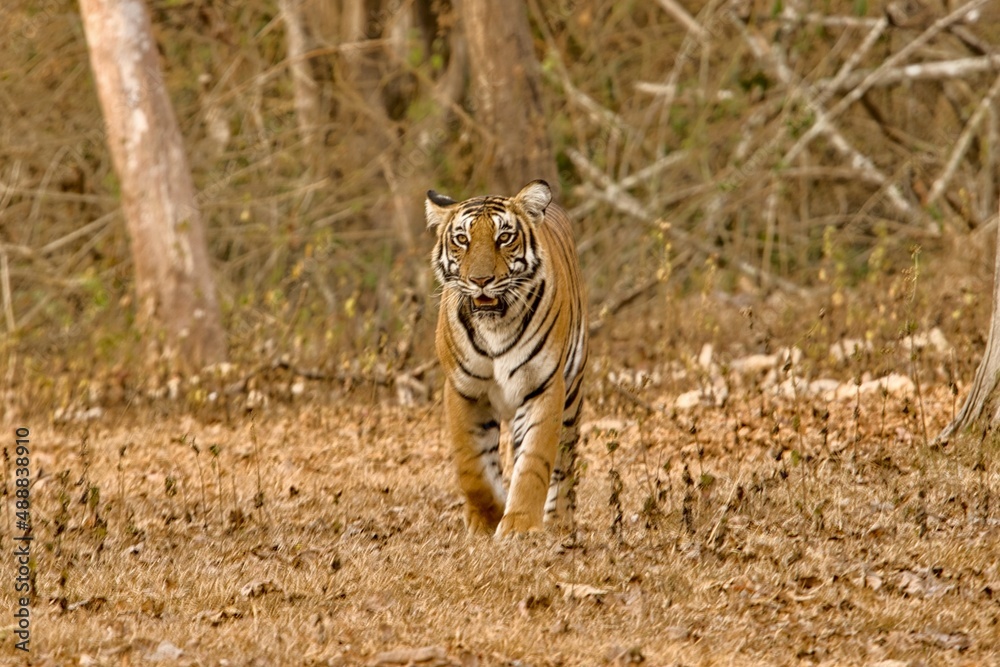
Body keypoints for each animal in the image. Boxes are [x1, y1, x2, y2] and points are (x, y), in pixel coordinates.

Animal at [425, 180, 588, 537]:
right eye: (462, 239)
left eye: (504, 237)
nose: (481, 281)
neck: (494, 327)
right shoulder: (462, 390)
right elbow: (472, 466)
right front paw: (488, 516)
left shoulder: (543, 387)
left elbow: (534, 461)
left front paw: (519, 524)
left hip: (572, 395)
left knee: (563, 466)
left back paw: (559, 522)